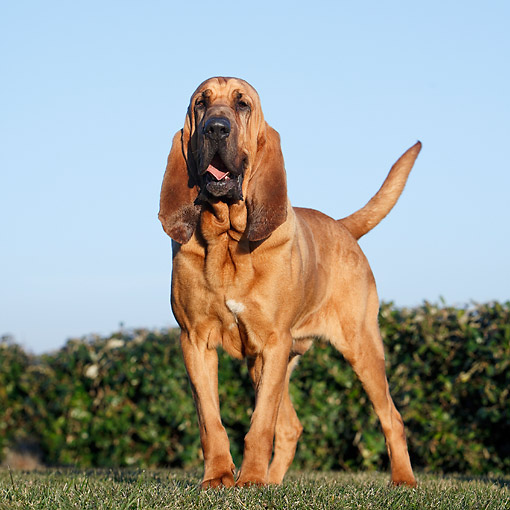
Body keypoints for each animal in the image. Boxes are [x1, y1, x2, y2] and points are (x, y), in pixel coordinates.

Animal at [158, 77, 418, 488]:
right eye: (201, 103)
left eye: (242, 104)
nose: (216, 128)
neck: (227, 239)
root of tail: (342, 227)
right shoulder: (195, 341)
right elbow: (210, 421)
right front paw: (219, 477)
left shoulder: (272, 343)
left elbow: (260, 424)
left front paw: (249, 480)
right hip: (266, 364)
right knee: (291, 426)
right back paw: (273, 482)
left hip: (361, 349)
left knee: (391, 417)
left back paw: (403, 480)